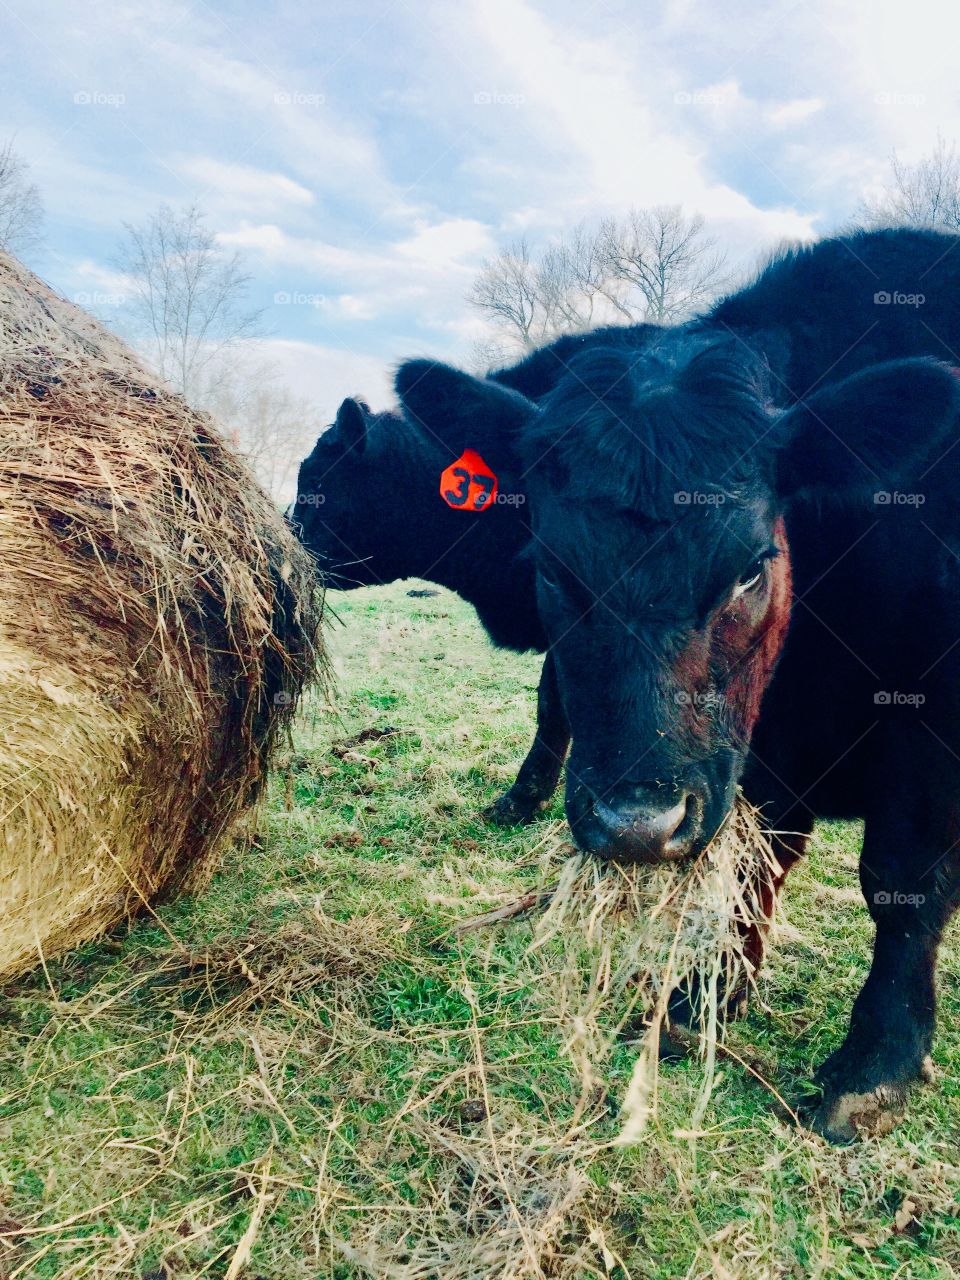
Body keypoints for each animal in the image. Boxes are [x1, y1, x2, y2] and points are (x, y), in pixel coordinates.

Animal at [396, 230, 960, 1141]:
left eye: (751, 567)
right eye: (551, 568)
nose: (636, 824)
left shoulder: (931, 734)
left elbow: (902, 887)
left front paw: (876, 1065)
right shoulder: (759, 754)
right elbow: (760, 865)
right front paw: (709, 998)